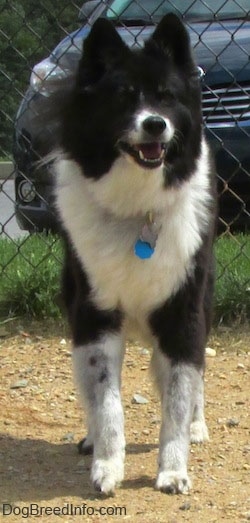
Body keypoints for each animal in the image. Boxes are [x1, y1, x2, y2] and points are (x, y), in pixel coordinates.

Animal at [53, 13, 217, 496]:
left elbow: (179, 396)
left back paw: (198, 427)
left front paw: (173, 470)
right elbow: (106, 401)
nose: (155, 125)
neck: (137, 210)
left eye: (166, 97)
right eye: (124, 98)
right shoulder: (94, 314)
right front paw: (107, 466)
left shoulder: (183, 312)